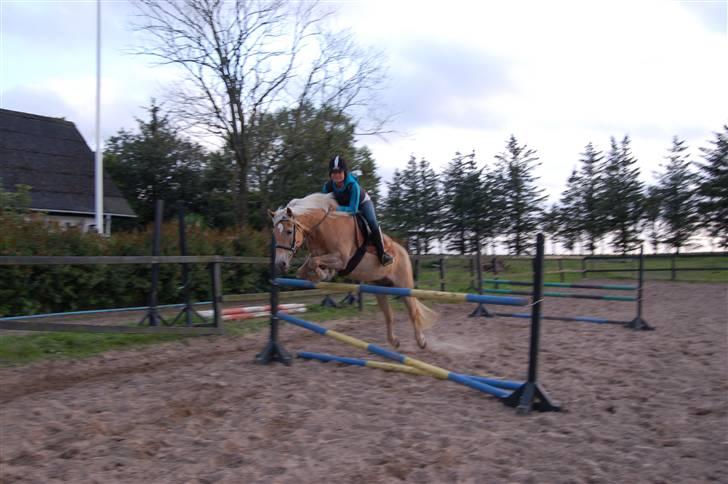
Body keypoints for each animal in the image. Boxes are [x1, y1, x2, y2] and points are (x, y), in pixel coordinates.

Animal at [270, 192, 436, 348]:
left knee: (413, 310)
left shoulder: (341, 259)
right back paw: (394, 341)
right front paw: (322, 274)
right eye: (275, 234)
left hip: (404, 285)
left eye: (289, 231)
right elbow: (304, 270)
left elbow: (313, 263)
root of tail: (403, 251)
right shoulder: (318, 256)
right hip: (379, 288)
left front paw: (324, 274)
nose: (280, 264)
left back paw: (421, 341)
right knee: (388, 314)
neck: (323, 228)